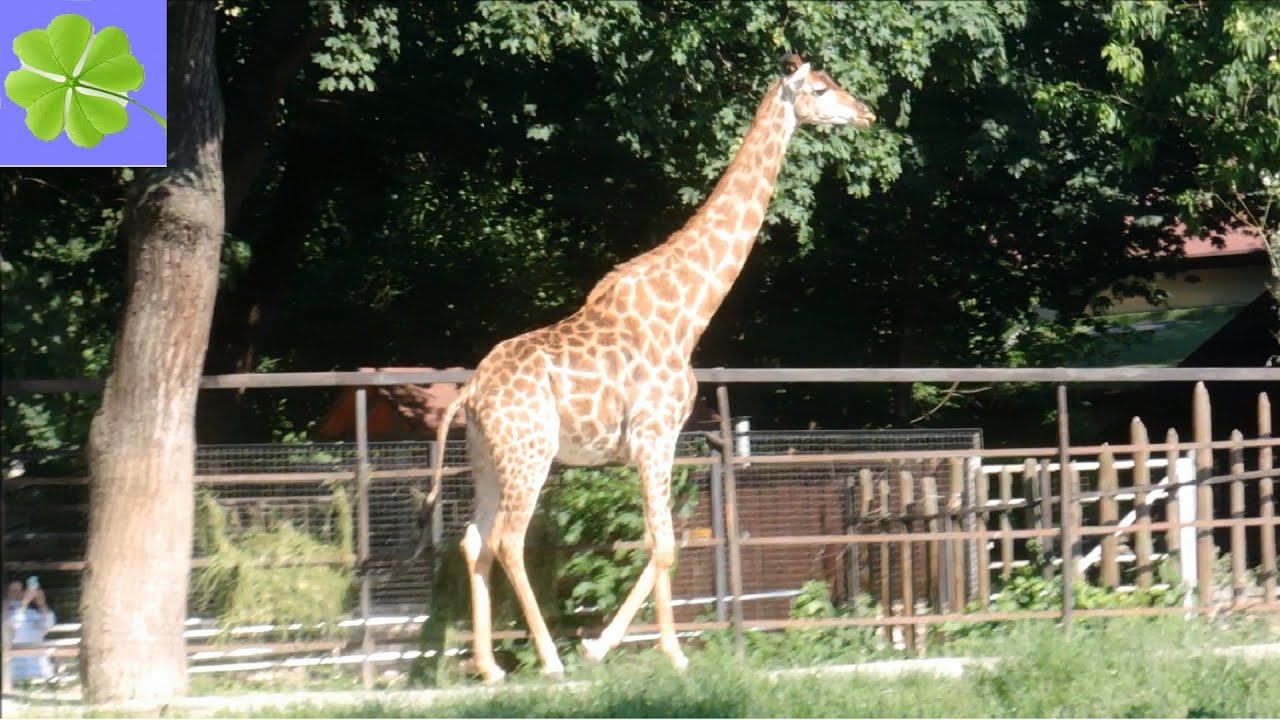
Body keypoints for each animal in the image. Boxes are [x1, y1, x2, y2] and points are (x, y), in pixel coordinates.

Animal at [424, 50, 875, 676]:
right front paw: (656, 651)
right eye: (821, 88)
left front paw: (627, 647)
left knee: (473, 539)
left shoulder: (651, 442)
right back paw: (550, 660)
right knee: (509, 539)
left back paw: (490, 667)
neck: (689, 312)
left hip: (488, 459)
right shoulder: (654, 434)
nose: (867, 113)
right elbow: (663, 545)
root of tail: (471, 393)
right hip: (530, 453)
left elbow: (663, 542)